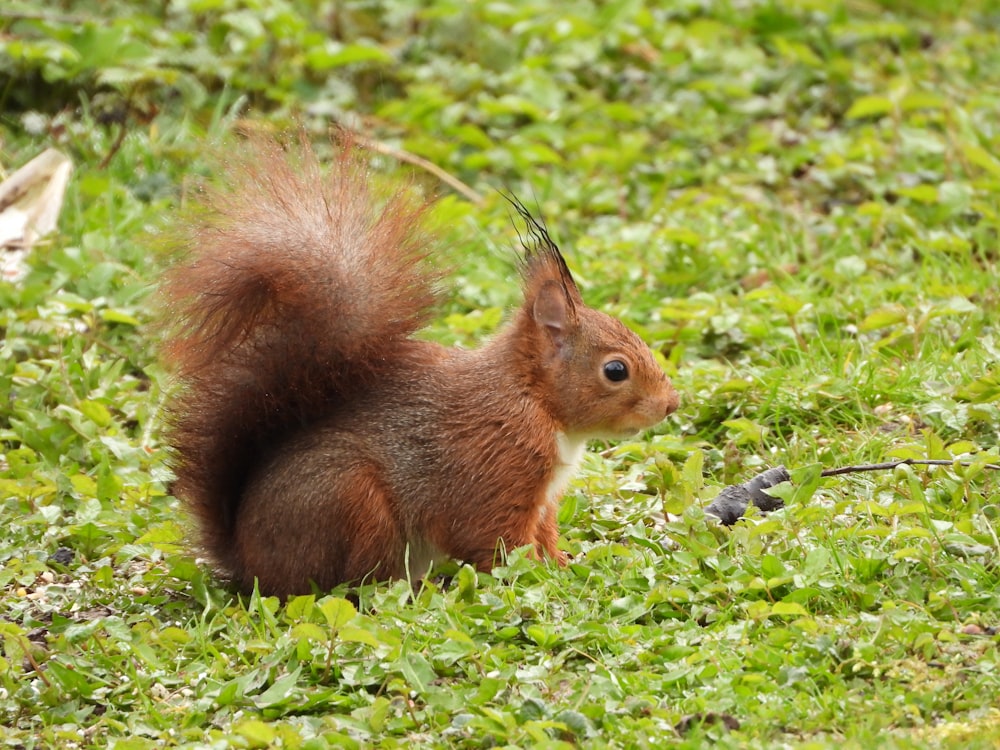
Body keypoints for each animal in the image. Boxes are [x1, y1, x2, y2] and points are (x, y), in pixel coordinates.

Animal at [162, 137, 680, 600]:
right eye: (616, 370)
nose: (671, 405)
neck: (532, 398)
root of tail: (246, 561)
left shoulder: (544, 498)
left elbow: (544, 534)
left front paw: (564, 565)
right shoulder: (494, 467)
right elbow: (495, 541)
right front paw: (539, 578)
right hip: (351, 501)